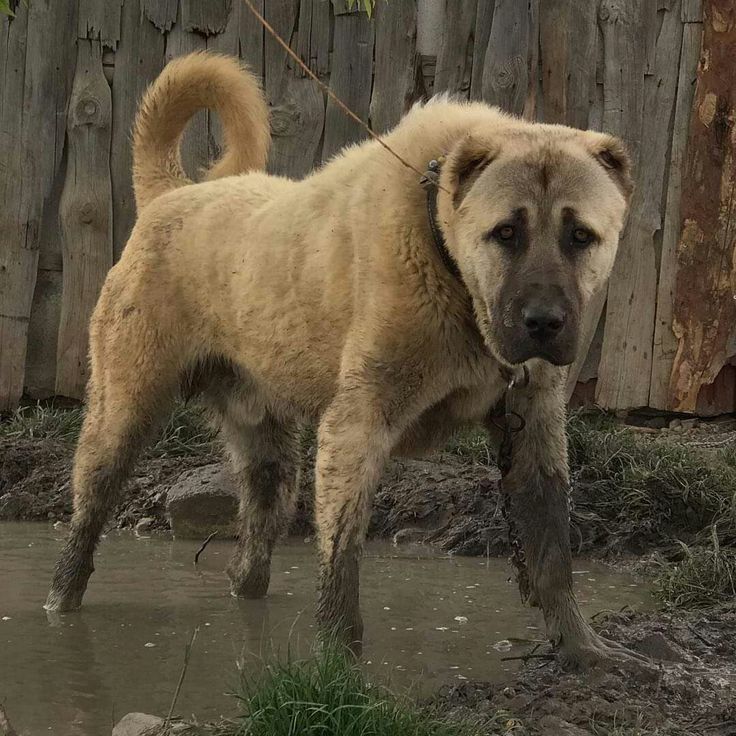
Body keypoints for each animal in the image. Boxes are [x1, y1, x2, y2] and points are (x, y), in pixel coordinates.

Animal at [46, 54, 644, 668]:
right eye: (506, 232)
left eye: (581, 236)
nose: (543, 322)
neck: (442, 250)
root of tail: (171, 196)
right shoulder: (356, 426)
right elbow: (342, 562)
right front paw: (337, 660)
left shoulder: (535, 430)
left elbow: (552, 555)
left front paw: (584, 649)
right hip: (122, 414)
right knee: (86, 519)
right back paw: (60, 602)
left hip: (269, 456)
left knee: (253, 544)